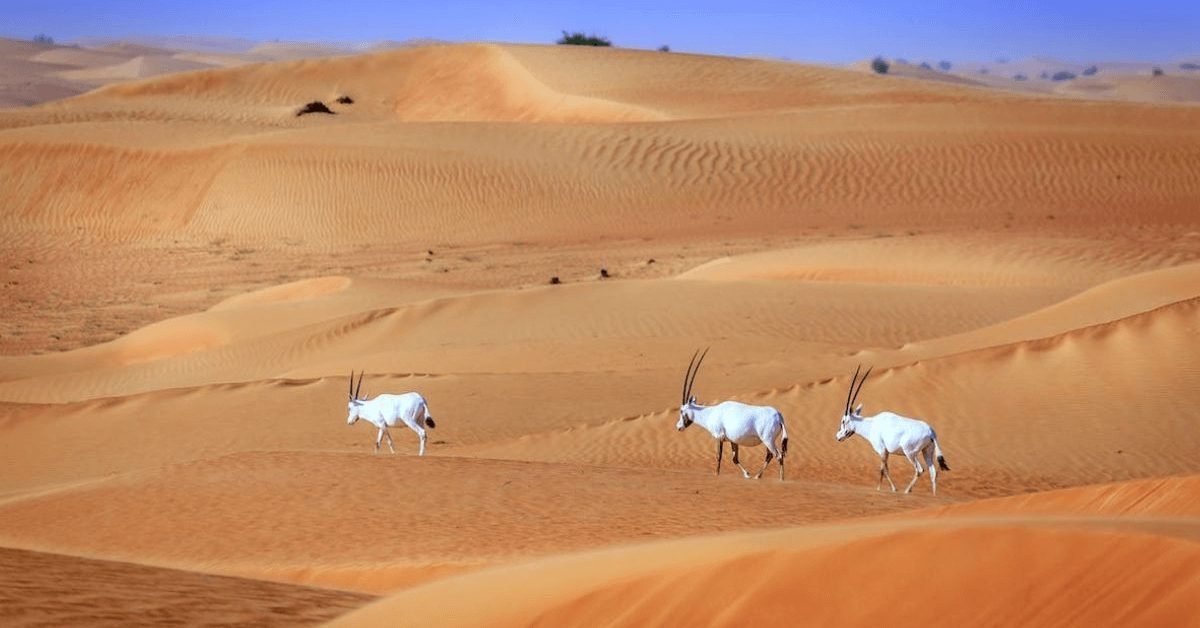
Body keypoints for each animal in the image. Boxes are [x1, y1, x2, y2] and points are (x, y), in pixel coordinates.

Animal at [676, 348, 787, 482]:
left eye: (682, 411)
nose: (678, 427)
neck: (710, 413)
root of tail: (778, 416)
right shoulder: (732, 440)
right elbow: (734, 459)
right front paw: (747, 474)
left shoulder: (719, 437)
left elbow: (718, 456)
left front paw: (716, 475)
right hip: (769, 441)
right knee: (770, 455)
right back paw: (757, 476)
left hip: (768, 440)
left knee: (778, 455)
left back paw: (781, 479)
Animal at [830, 369, 950, 497]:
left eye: (843, 421)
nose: (838, 436)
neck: (871, 425)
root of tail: (930, 431)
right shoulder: (887, 452)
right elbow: (886, 469)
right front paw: (892, 489)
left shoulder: (882, 450)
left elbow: (883, 470)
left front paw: (881, 489)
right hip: (927, 452)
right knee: (933, 472)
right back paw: (934, 496)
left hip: (910, 453)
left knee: (919, 469)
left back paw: (907, 490)